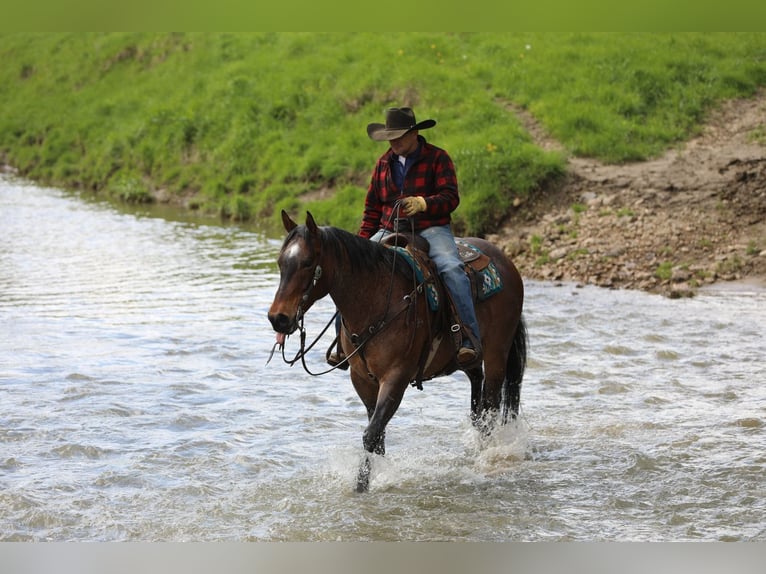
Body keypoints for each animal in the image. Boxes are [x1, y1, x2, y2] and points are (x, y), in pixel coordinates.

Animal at [268, 210, 527, 492]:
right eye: (281, 262)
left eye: (307, 263)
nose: (278, 318)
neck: (377, 301)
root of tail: (506, 262)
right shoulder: (362, 379)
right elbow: (378, 435)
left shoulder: (396, 377)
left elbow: (371, 434)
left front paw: (360, 488)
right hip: (465, 359)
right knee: (477, 398)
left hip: (497, 355)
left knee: (491, 406)